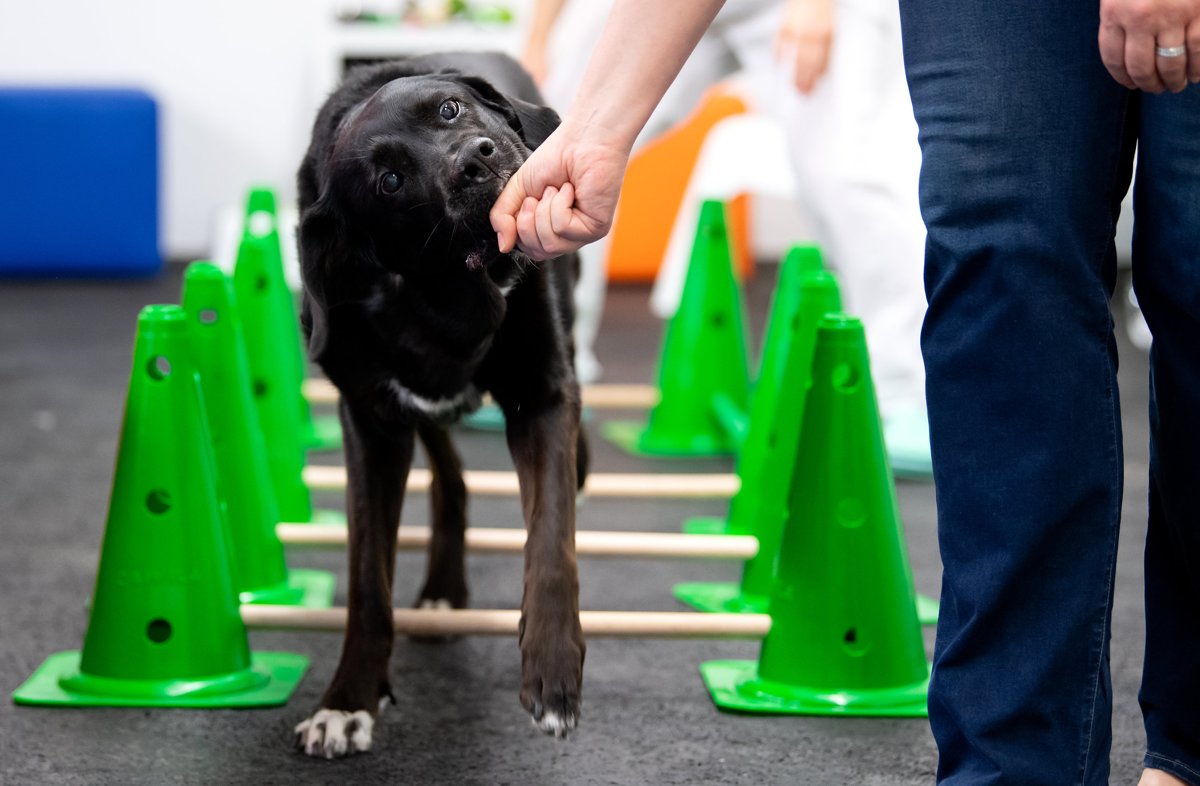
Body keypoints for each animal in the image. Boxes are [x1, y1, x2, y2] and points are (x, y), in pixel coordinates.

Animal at [292, 52, 588, 758]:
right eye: (390, 180)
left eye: (449, 109)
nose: (476, 160)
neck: (450, 291)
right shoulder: (372, 424)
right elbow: (368, 584)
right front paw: (348, 701)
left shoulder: (542, 397)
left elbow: (551, 538)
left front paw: (553, 670)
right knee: (450, 476)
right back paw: (444, 591)